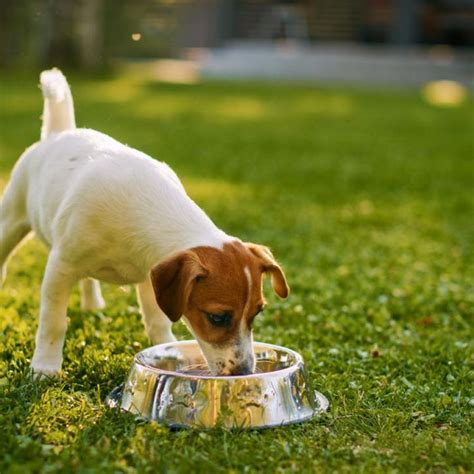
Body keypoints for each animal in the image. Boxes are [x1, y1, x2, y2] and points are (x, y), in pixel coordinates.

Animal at [0, 68, 288, 378]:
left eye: (257, 312)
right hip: (12, 218)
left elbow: (157, 320)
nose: (245, 371)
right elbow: (53, 323)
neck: (147, 208)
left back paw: (92, 305)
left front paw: (168, 351)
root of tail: (59, 132)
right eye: (217, 317)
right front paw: (45, 368)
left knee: (88, 280)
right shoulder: (60, 268)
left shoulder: (151, 277)